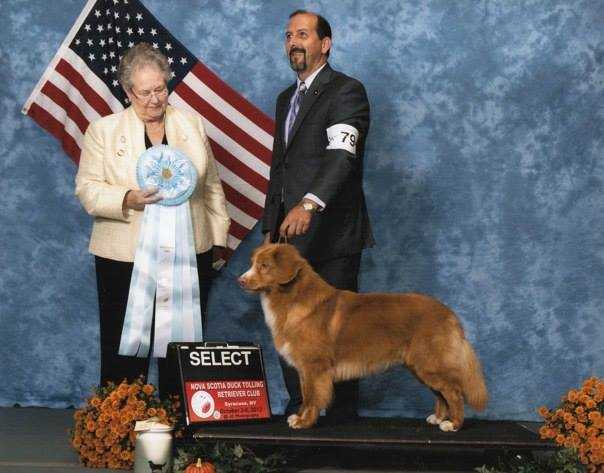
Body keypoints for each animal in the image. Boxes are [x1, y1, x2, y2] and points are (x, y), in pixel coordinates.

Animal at [238, 243, 488, 432]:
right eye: (253, 263)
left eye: (264, 266)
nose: (240, 280)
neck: (292, 297)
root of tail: (448, 313)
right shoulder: (304, 368)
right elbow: (306, 393)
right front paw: (299, 417)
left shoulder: (314, 366)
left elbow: (312, 397)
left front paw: (304, 422)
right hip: (420, 366)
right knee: (441, 394)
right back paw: (438, 418)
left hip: (429, 363)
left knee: (453, 392)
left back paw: (453, 424)